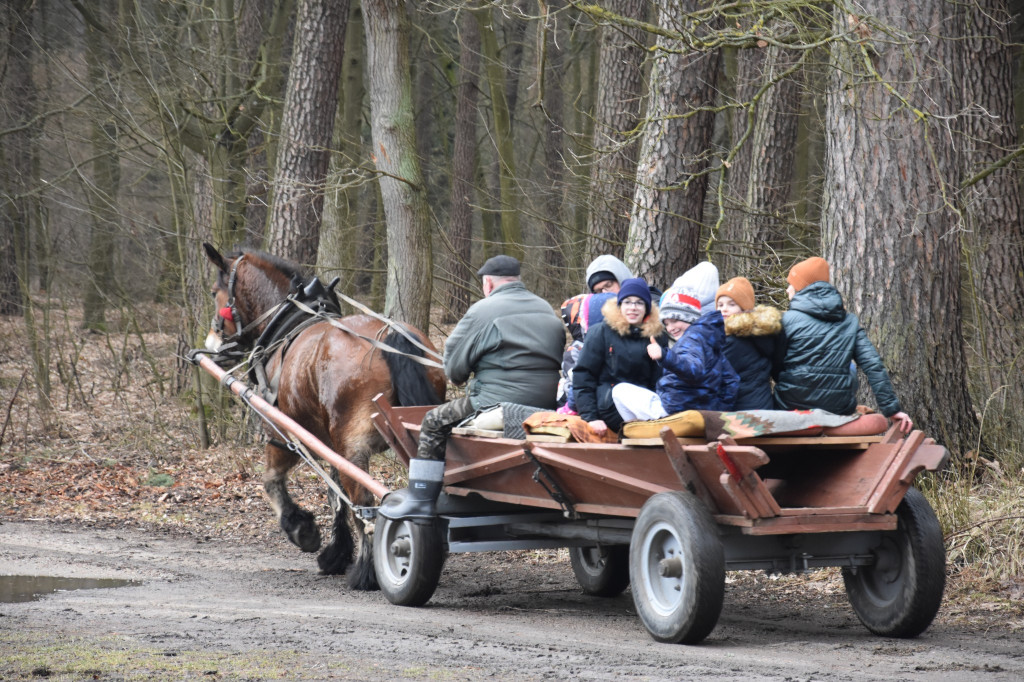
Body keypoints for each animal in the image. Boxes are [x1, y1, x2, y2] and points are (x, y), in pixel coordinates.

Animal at [201, 241, 446, 585]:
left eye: (214, 292)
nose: (212, 343)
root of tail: (390, 335)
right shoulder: (331, 445)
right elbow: (335, 495)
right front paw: (336, 553)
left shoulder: (282, 433)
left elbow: (273, 482)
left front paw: (302, 529)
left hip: (352, 446)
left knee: (365, 503)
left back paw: (367, 572)